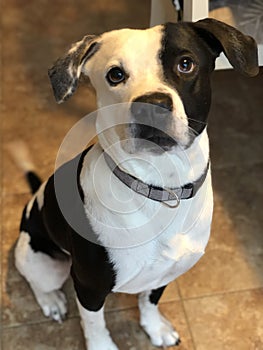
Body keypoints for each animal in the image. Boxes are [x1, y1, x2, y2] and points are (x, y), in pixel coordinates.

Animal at [13, 19, 258, 350]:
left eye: (186, 64)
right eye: (115, 74)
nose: (152, 106)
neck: (161, 188)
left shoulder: (165, 272)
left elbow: (150, 301)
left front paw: (155, 328)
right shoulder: (89, 286)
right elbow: (95, 325)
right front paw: (102, 346)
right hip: (44, 262)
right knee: (35, 281)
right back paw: (51, 301)